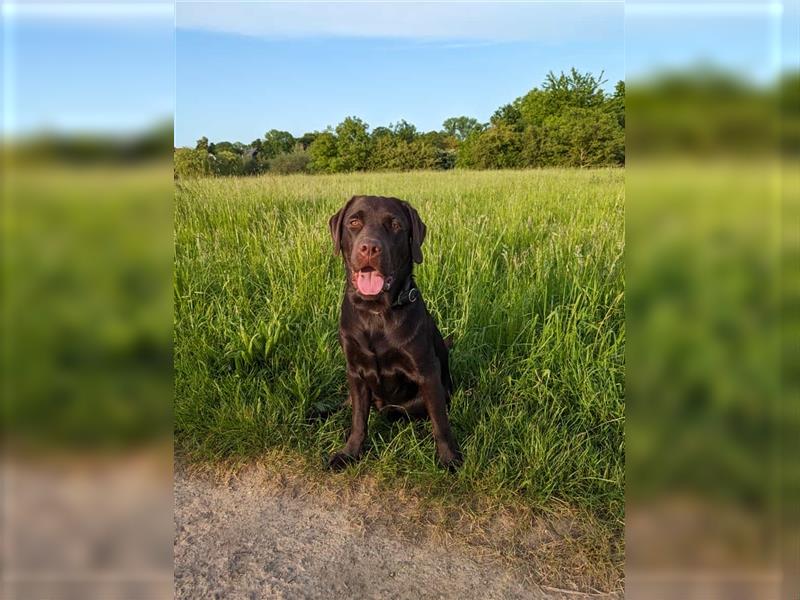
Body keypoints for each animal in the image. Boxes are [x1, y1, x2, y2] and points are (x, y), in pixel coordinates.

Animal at [326, 195, 462, 472]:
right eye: (354, 222)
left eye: (396, 225)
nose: (369, 247)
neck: (376, 312)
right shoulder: (355, 372)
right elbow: (358, 419)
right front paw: (350, 453)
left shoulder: (427, 372)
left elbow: (440, 422)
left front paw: (449, 458)